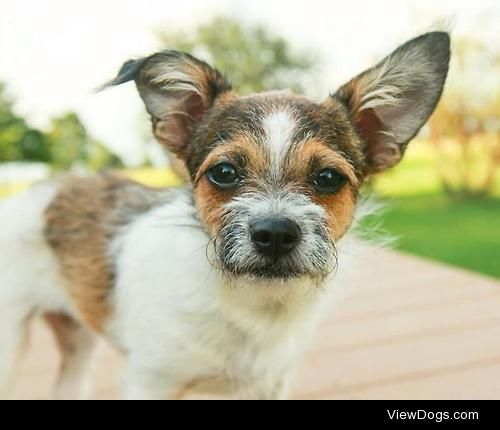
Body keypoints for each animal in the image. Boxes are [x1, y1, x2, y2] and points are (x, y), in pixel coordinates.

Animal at [0, 31, 452, 398]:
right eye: (224, 172)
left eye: (327, 177)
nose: (275, 233)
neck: (250, 305)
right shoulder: (150, 381)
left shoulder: (268, 387)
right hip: (10, 342)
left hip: (77, 339)